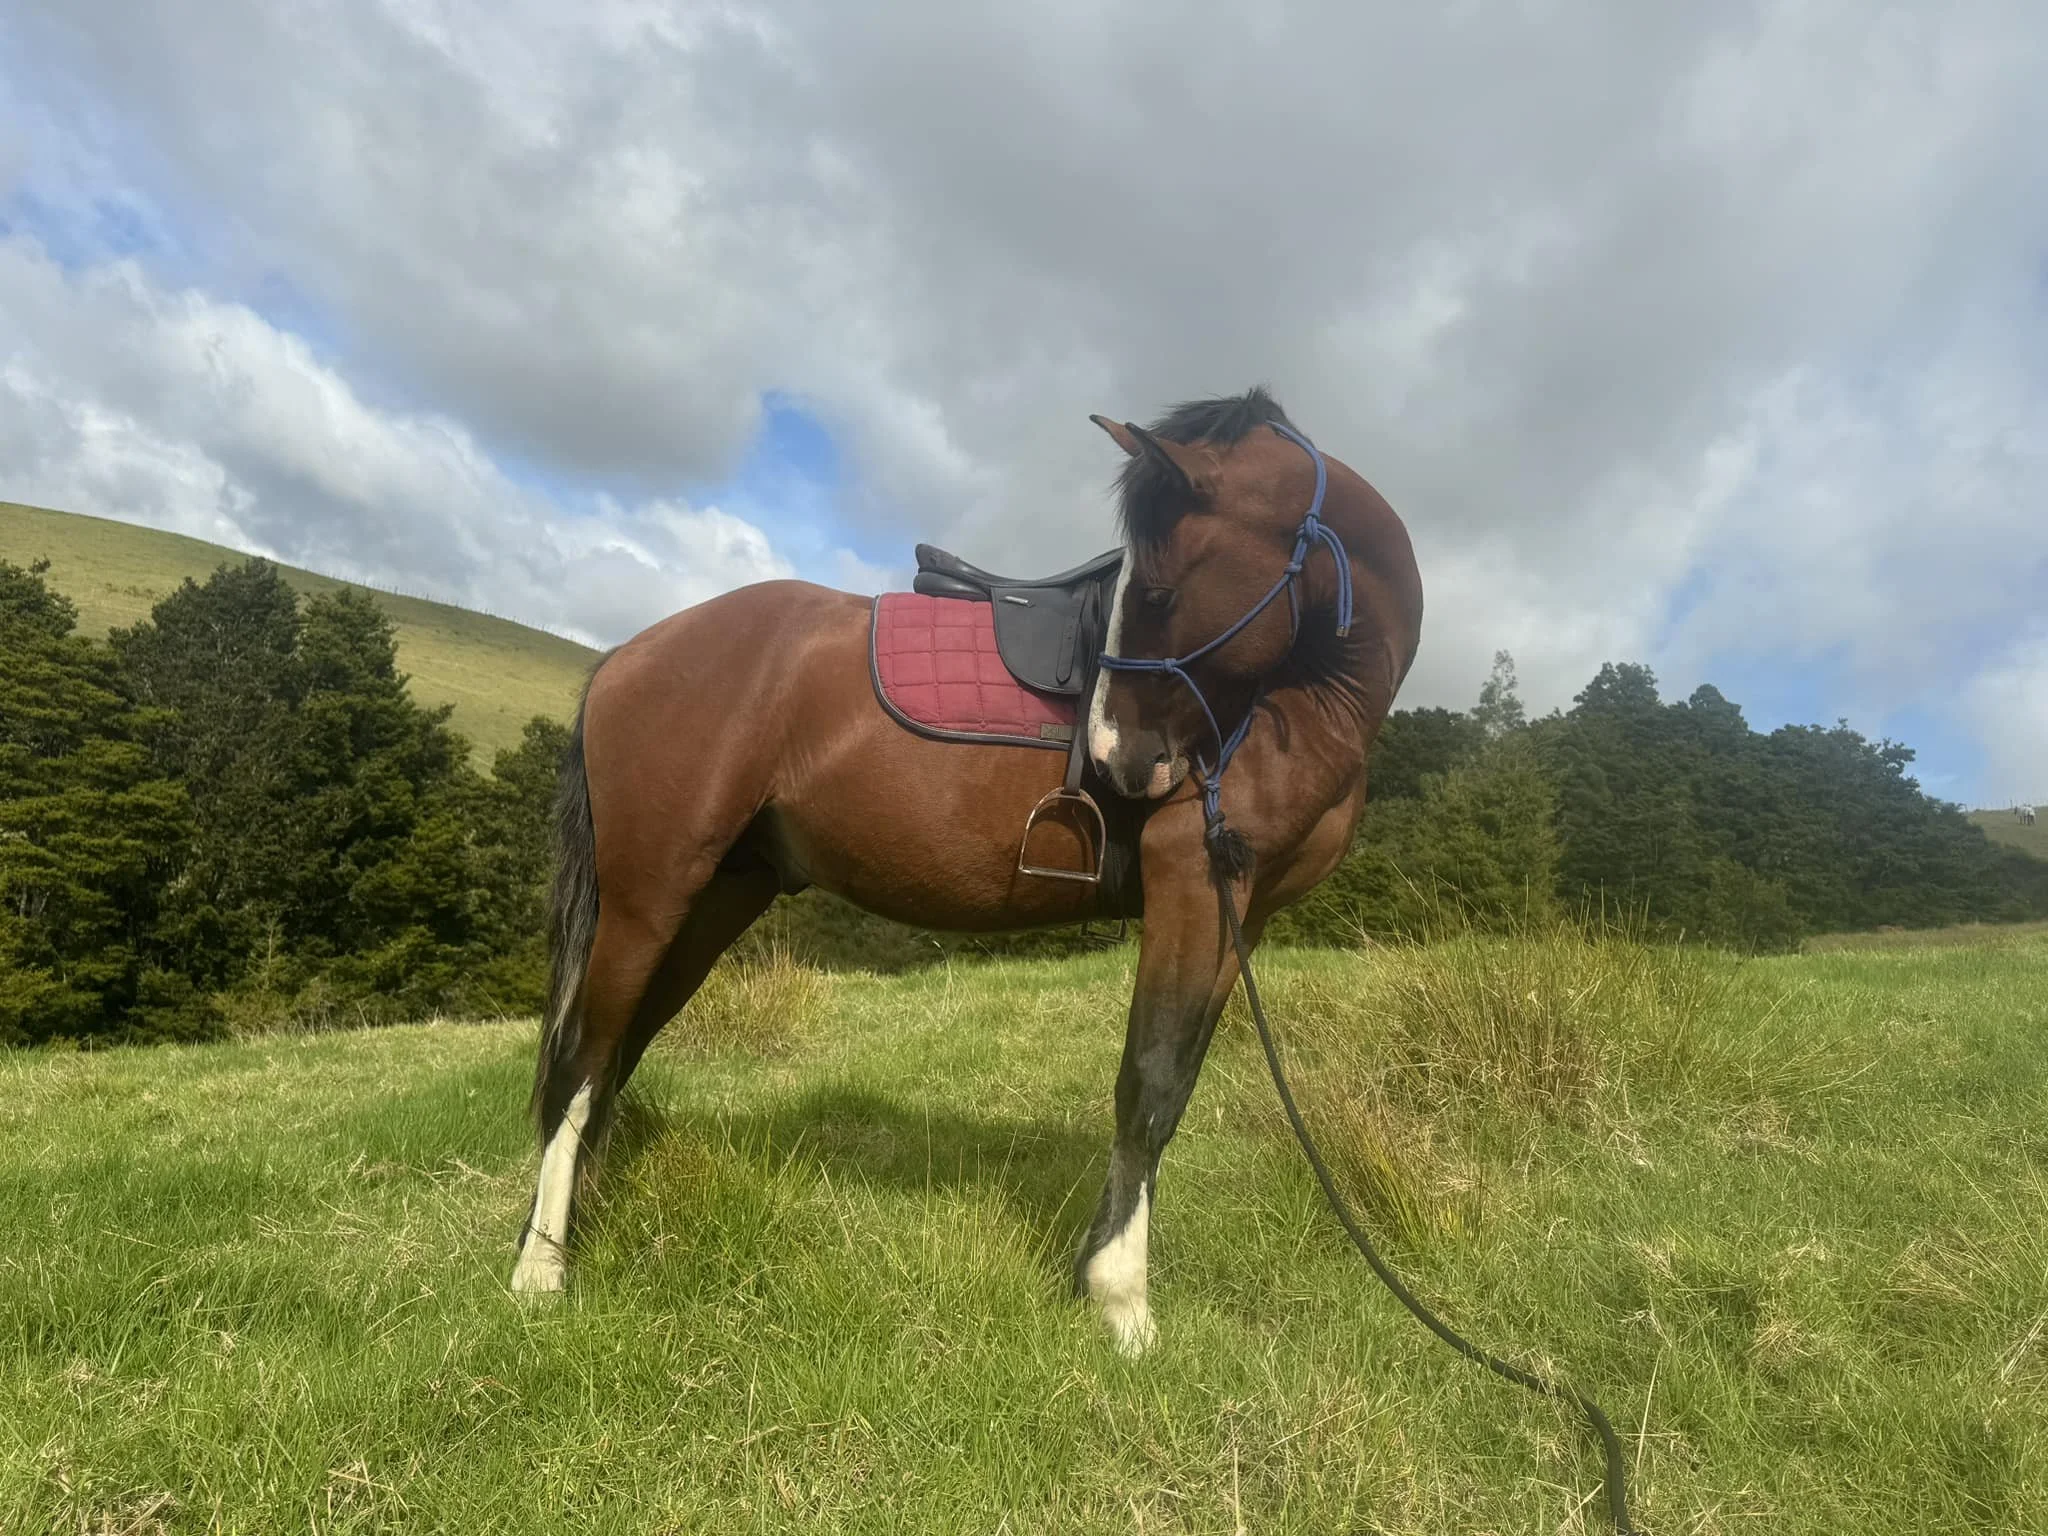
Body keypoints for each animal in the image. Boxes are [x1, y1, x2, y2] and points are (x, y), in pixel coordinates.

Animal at [510, 387, 1425, 1354]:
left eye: (1160, 590)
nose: (1117, 755)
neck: (1299, 698)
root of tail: (627, 655)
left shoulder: (1239, 914)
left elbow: (1172, 1091)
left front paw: (1097, 1273)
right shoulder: (1192, 891)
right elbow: (1148, 1082)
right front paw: (1122, 1301)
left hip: (715, 898)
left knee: (617, 1053)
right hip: (647, 900)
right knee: (584, 1059)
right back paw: (540, 1271)